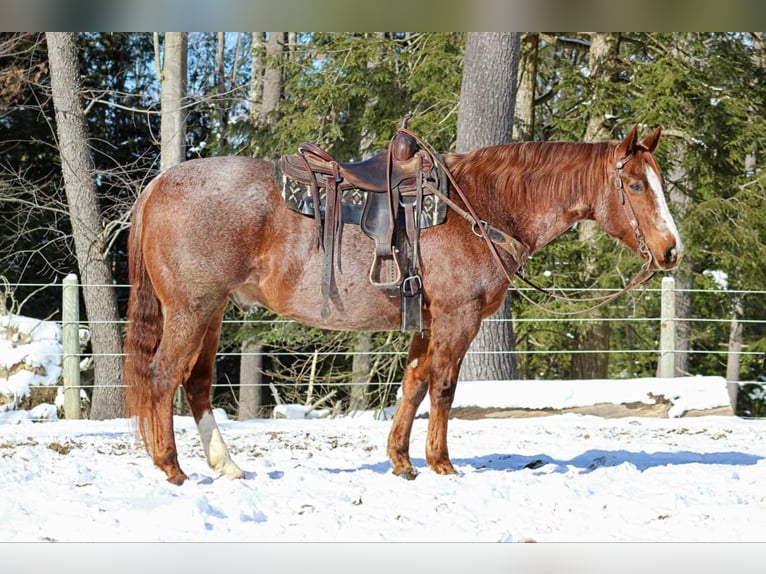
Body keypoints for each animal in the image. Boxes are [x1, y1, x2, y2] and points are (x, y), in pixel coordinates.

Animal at [124, 126, 684, 486]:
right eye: (636, 184)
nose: (671, 250)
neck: (481, 206)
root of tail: (158, 185)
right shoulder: (458, 318)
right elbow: (443, 387)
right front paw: (441, 463)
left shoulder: (429, 321)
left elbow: (413, 383)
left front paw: (402, 460)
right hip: (192, 309)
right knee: (163, 375)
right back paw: (171, 467)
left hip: (213, 311)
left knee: (195, 383)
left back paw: (227, 464)